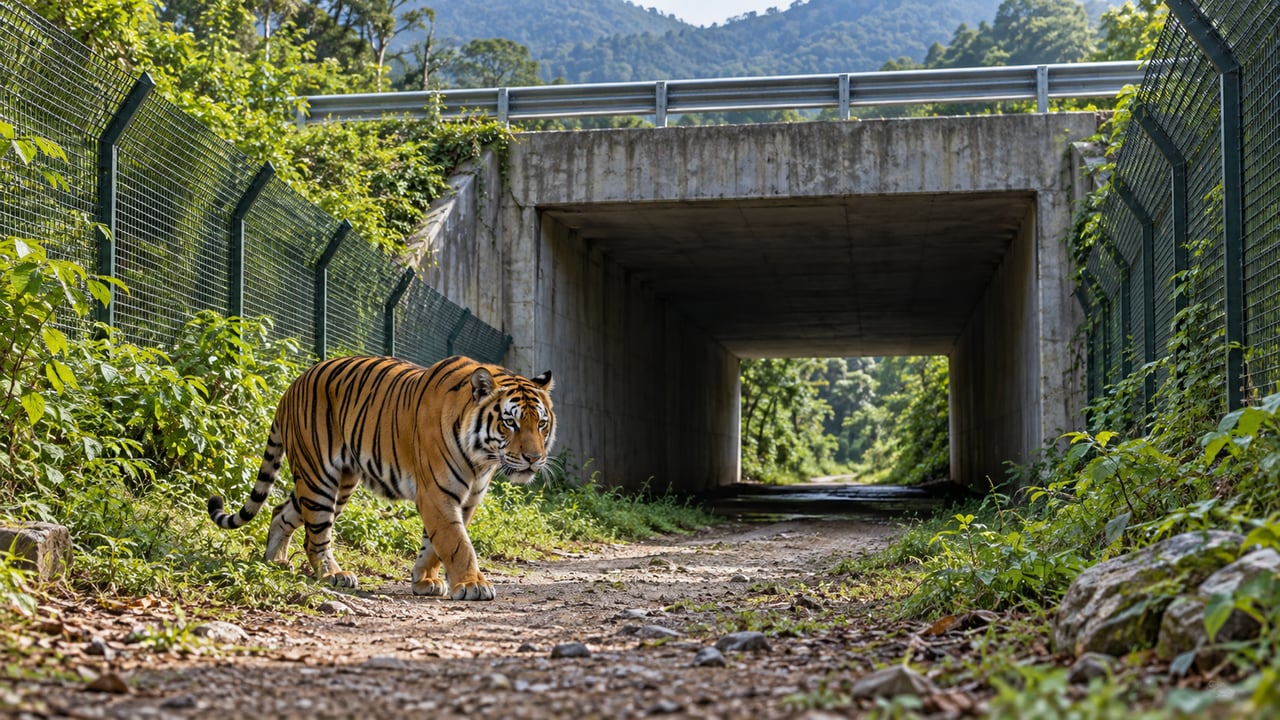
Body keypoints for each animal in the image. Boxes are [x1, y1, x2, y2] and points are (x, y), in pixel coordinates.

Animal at [206, 354, 555, 601]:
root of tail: (292, 386)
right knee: (316, 534)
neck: (482, 459)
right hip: (319, 477)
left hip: (339, 482)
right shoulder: (437, 492)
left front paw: (424, 580)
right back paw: (332, 575)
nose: (533, 458)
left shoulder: (467, 498)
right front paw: (473, 585)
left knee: (282, 511)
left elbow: (434, 544)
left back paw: (274, 562)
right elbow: (457, 542)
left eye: (541, 423)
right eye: (510, 423)